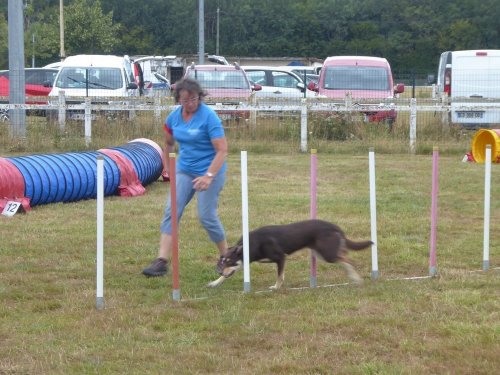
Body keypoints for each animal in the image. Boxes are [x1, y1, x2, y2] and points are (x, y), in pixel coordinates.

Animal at [205, 220, 374, 290]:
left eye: (229, 261)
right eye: (222, 261)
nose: (218, 271)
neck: (252, 243)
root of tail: (334, 226)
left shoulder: (280, 257)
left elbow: (279, 276)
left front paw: (276, 287)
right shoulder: (244, 262)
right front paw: (215, 282)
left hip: (327, 254)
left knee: (348, 260)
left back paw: (356, 278)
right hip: (321, 252)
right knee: (344, 255)